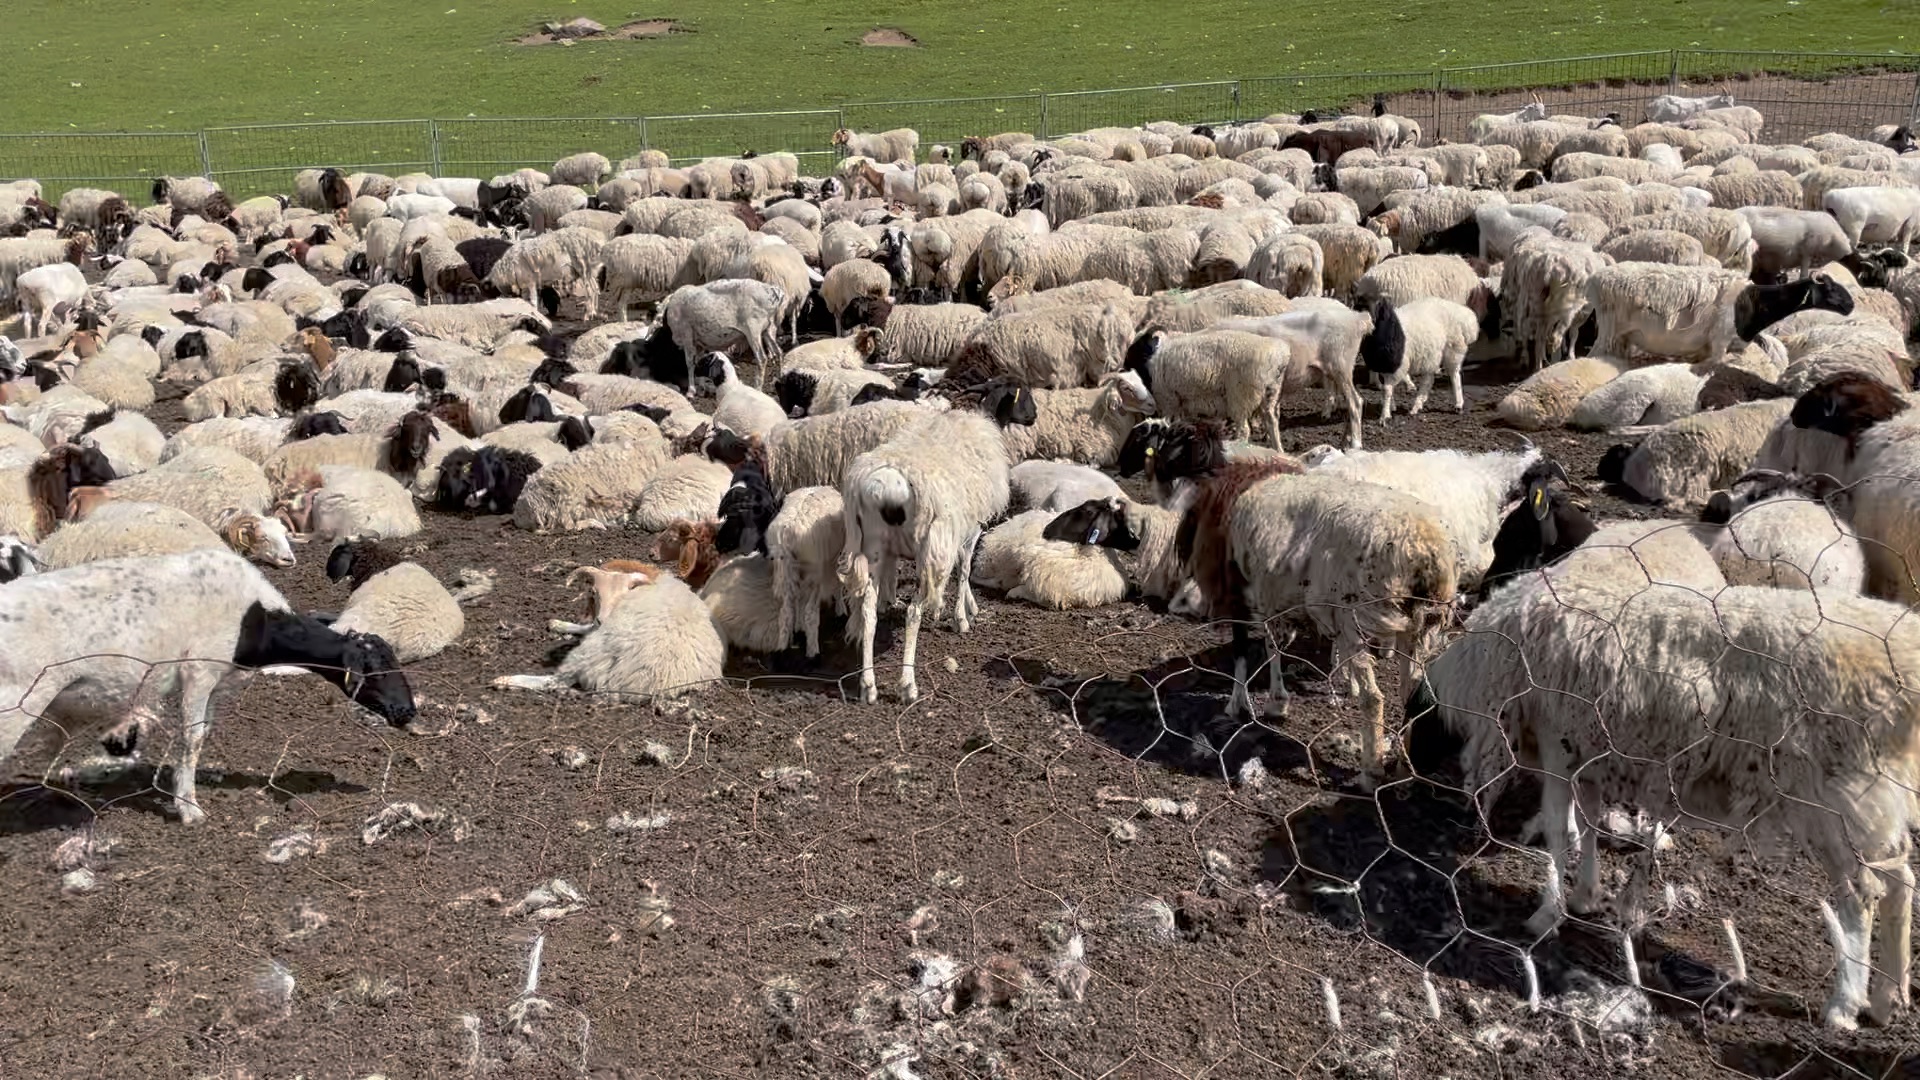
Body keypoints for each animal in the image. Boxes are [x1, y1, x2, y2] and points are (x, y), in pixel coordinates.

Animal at [0, 549, 416, 818]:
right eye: (377, 671)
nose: (407, 712)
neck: (257, 620)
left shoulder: (215, 684)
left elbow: (200, 732)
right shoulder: (199, 670)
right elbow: (193, 737)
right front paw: (189, 807)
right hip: (15, 702)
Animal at [844, 407, 1021, 703]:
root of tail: (887, 487)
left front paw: (964, 607)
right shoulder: (969, 530)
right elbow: (964, 570)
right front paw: (961, 618)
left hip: (872, 549)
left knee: (867, 612)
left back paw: (868, 686)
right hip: (927, 548)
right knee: (913, 612)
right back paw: (907, 685)